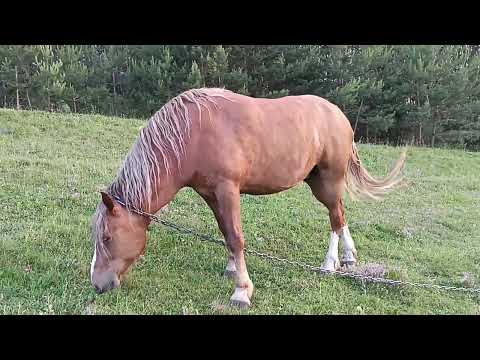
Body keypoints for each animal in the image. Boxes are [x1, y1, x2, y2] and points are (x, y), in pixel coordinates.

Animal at [91, 88, 404, 308]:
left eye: (106, 237)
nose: (97, 284)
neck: (192, 133)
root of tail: (339, 115)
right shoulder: (211, 193)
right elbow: (224, 231)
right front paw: (232, 269)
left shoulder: (228, 189)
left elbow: (235, 237)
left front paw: (242, 291)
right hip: (319, 180)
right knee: (340, 213)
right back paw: (349, 257)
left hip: (329, 179)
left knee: (335, 217)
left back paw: (329, 264)